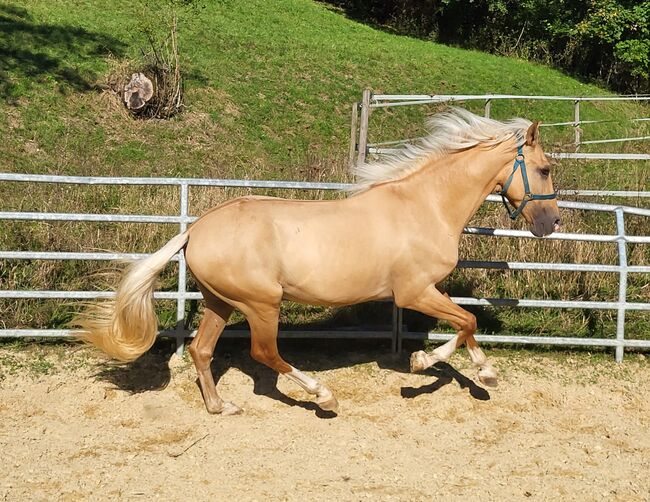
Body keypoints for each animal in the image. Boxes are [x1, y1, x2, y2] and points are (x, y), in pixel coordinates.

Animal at [74, 110, 556, 416]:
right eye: (546, 169)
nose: (551, 223)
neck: (425, 206)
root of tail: (196, 229)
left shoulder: (422, 292)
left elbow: (464, 325)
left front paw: (478, 371)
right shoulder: (414, 292)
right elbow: (467, 322)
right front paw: (440, 365)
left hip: (220, 301)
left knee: (201, 349)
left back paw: (220, 406)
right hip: (261, 303)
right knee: (264, 353)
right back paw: (324, 396)